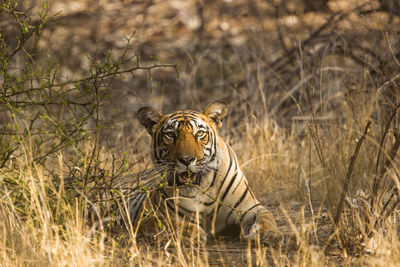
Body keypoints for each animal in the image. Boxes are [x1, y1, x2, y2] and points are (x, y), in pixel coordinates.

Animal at [125, 101, 282, 245]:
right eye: (170, 135)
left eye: (200, 134)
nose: (186, 159)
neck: (202, 189)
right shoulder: (148, 216)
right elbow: (171, 223)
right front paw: (193, 233)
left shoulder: (250, 207)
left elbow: (267, 217)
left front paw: (267, 234)